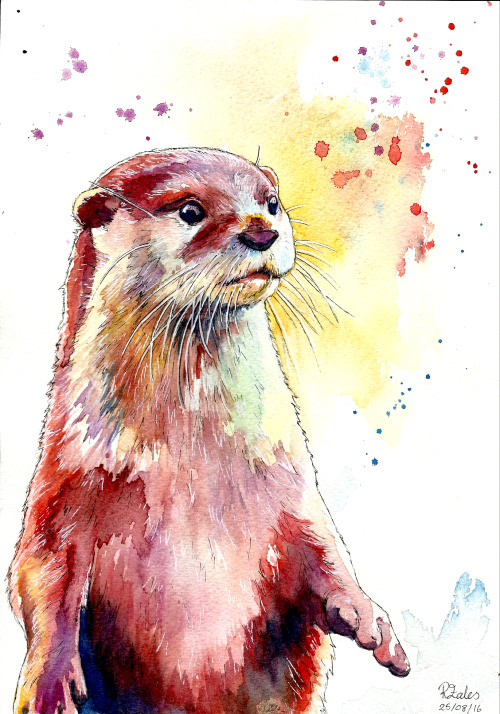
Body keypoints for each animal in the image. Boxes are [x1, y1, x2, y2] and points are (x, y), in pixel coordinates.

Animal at [9, 148, 409, 714]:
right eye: (190, 211)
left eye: (270, 201)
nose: (262, 231)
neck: (192, 464)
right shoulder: (68, 474)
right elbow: (40, 571)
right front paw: (47, 679)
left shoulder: (289, 481)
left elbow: (322, 549)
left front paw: (368, 617)